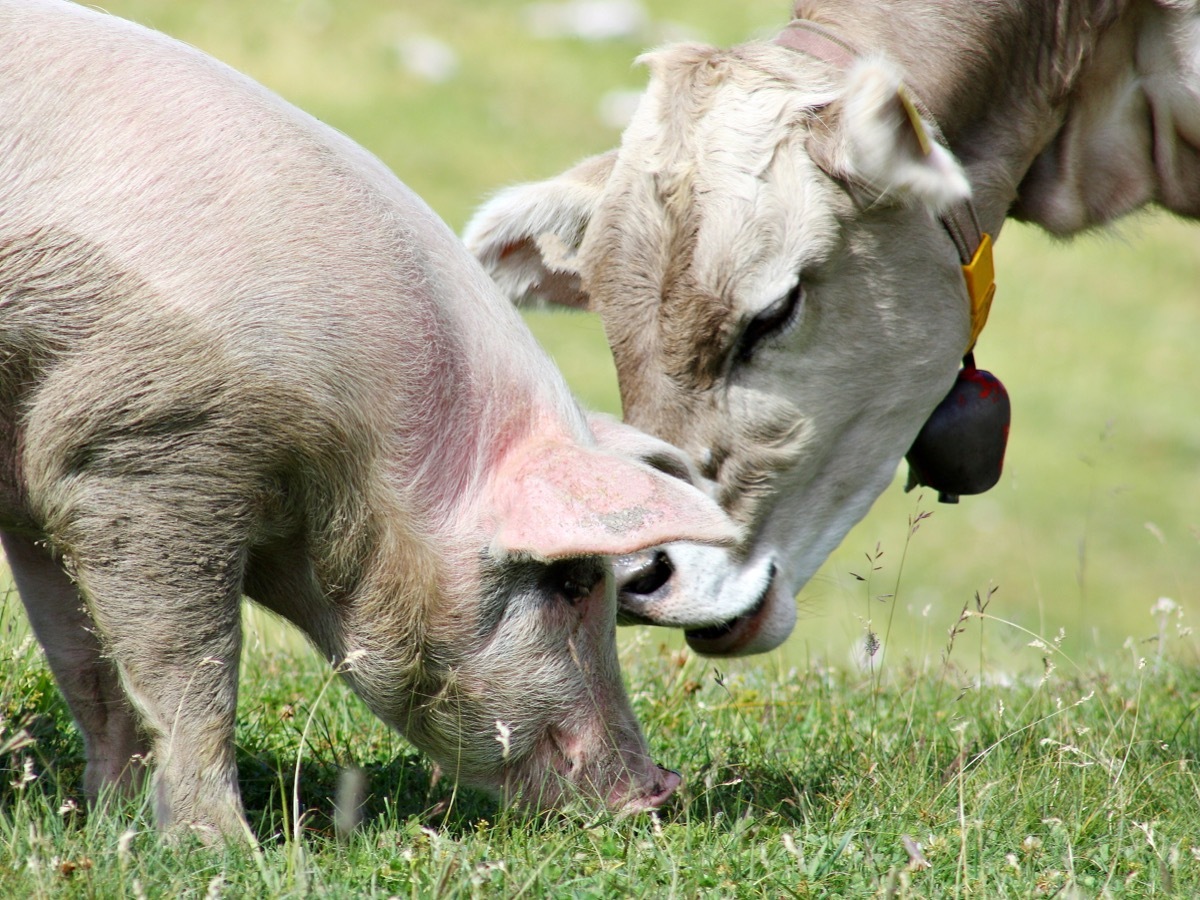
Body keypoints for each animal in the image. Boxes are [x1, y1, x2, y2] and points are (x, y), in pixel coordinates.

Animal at [0, 0, 740, 837]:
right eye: (574, 580)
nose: (660, 790)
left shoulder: (45, 487)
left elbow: (84, 663)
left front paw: (114, 825)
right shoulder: (146, 446)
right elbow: (189, 668)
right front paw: (224, 845)